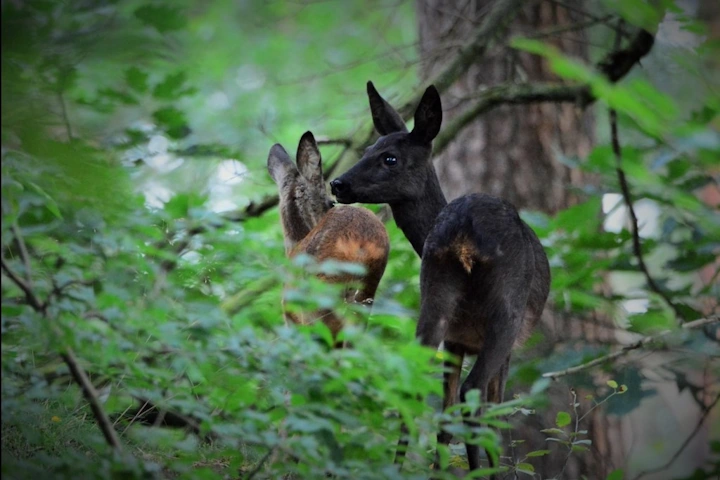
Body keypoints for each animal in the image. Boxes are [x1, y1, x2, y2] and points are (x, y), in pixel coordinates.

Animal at [332, 82, 552, 472]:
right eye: (369, 149)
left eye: (387, 157)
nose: (337, 183)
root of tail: (463, 231)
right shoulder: (500, 345)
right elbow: (494, 411)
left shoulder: (455, 340)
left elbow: (444, 419)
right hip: (505, 312)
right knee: (473, 394)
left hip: (434, 296)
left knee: (417, 385)